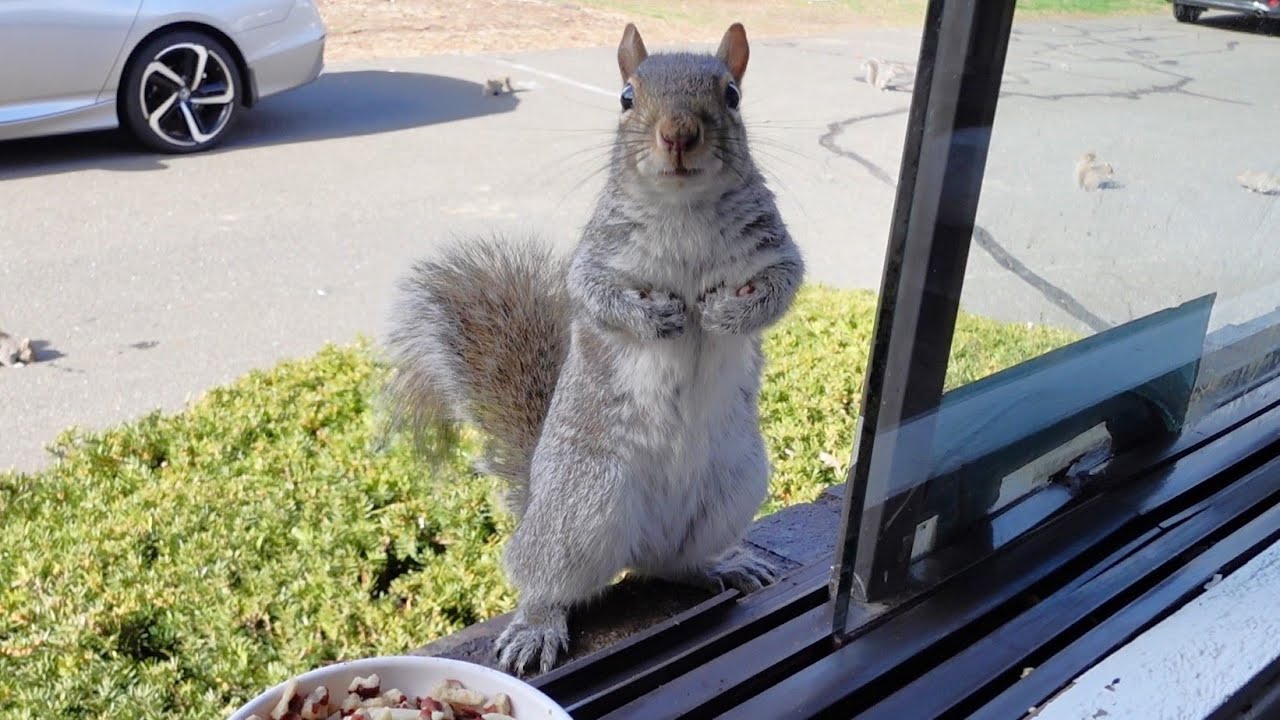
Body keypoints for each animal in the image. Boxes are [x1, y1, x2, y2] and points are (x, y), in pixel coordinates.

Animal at [386, 22, 805, 677]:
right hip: (580, 507)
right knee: (544, 581)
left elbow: (781, 287)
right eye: (627, 97)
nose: (678, 134)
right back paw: (536, 625)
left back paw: (723, 563)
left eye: (732, 95)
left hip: (732, 487)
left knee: (675, 564)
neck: (683, 207)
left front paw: (724, 314)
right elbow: (594, 294)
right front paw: (658, 317)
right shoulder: (598, 255)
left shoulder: (774, 248)